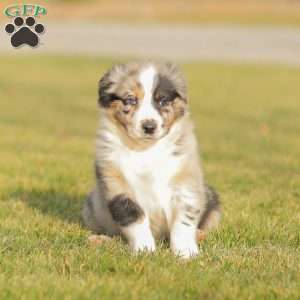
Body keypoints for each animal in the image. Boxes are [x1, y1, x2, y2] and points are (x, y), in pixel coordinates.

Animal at [82, 60, 220, 258]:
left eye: (163, 101)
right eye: (130, 100)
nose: (149, 126)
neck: (145, 149)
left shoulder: (185, 179)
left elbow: (183, 221)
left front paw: (185, 252)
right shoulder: (116, 182)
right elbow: (134, 218)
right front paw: (144, 249)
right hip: (92, 208)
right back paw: (99, 240)